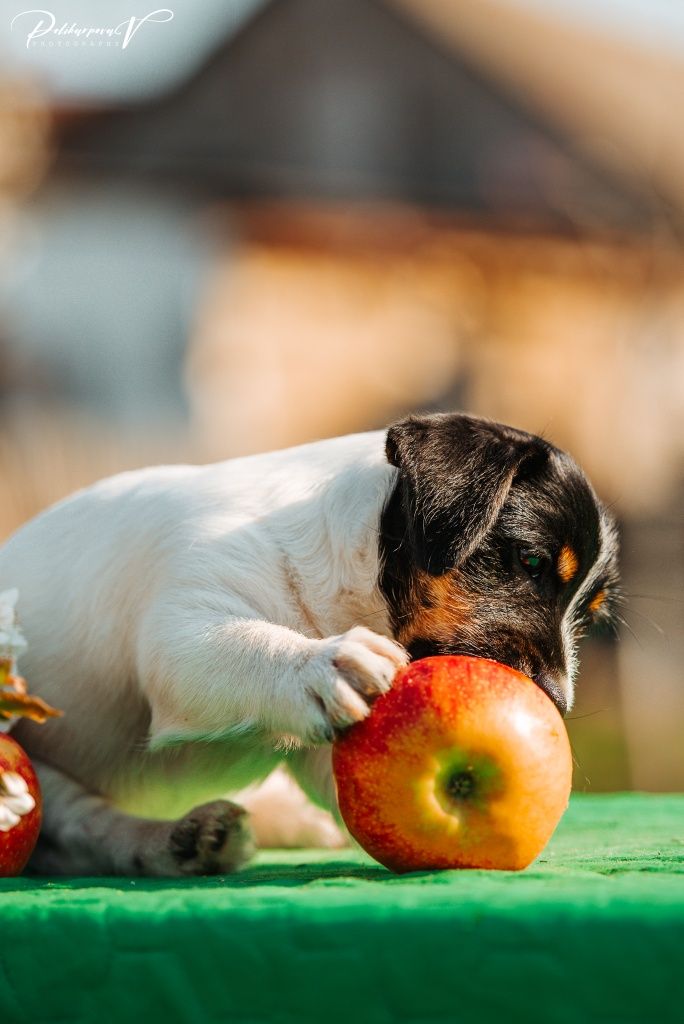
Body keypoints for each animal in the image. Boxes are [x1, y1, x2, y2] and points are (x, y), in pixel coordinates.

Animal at [0, 411, 618, 876]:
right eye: (531, 560)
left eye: (590, 614)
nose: (558, 705)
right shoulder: (184, 626)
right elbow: (251, 643)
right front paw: (320, 664)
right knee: (80, 830)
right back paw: (177, 842)